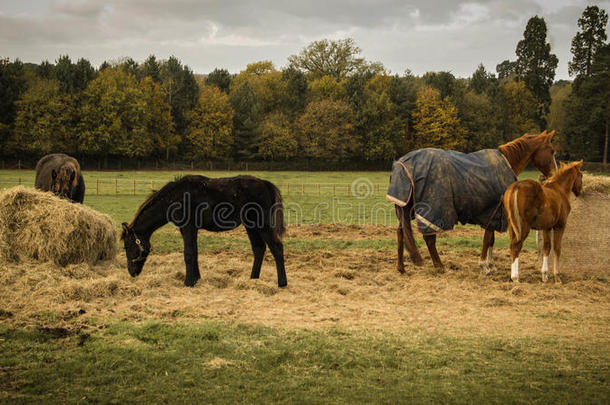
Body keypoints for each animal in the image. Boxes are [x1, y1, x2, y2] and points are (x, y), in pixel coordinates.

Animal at [122, 174, 288, 288]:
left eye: (128, 246)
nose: (131, 272)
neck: (174, 198)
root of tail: (265, 184)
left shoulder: (188, 227)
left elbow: (188, 253)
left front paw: (188, 282)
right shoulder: (188, 229)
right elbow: (194, 252)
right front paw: (196, 279)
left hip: (261, 225)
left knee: (277, 248)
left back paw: (282, 283)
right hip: (250, 226)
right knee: (259, 248)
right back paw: (253, 279)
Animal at [384, 131, 556, 274]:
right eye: (552, 150)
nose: (554, 174)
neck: (507, 162)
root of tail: (402, 164)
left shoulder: (492, 214)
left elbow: (491, 239)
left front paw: (491, 265)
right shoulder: (493, 210)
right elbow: (487, 239)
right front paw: (484, 266)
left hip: (404, 208)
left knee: (401, 233)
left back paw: (401, 267)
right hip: (434, 210)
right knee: (429, 238)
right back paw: (439, 266)